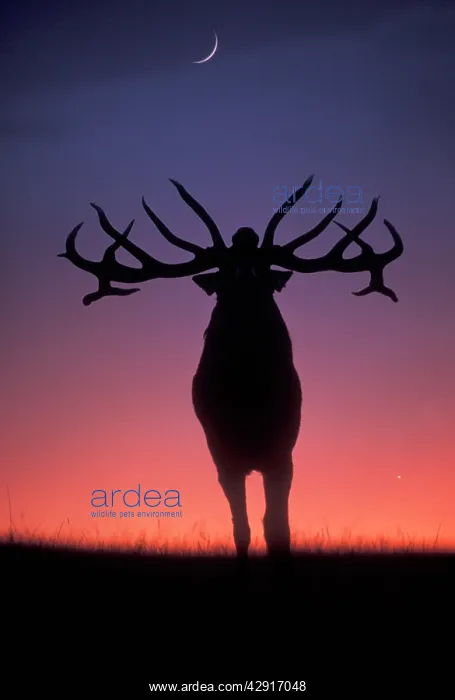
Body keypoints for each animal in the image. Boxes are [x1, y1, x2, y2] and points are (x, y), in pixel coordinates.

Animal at [58, 174, 403, 559]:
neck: (247, 392)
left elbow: (277, 529)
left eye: (264, 272)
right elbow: (242, 529)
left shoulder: (282, 450)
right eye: (224, 273)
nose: (245, 233)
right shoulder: (222, 452)